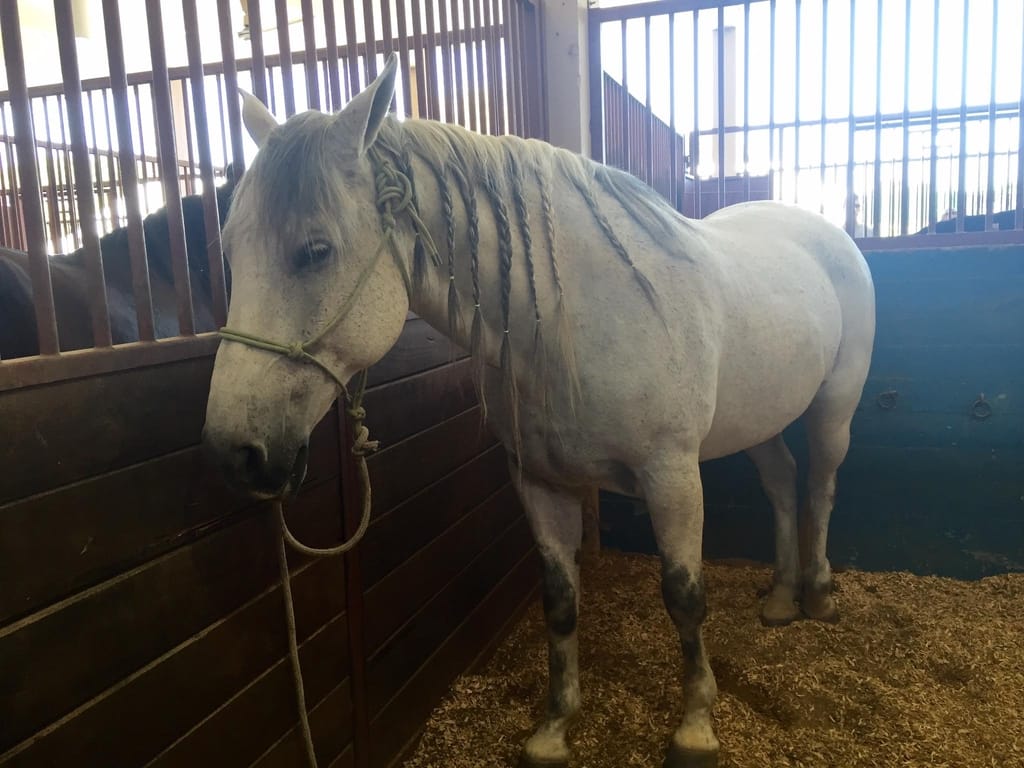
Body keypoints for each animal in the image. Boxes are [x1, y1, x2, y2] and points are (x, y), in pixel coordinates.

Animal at [203, 55, 876, 768]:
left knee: (821, 483)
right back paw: (779, 598)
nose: (234, 452)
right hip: (758, 420)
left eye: (316, 250)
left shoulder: (672, 477)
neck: (572, 320)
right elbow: (559, 599)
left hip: (834, 408)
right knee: (781, 482)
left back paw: (818, 596)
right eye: (229, 249)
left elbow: (685, 596)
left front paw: (695, 727)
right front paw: (554, 728)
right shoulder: (539, 481)